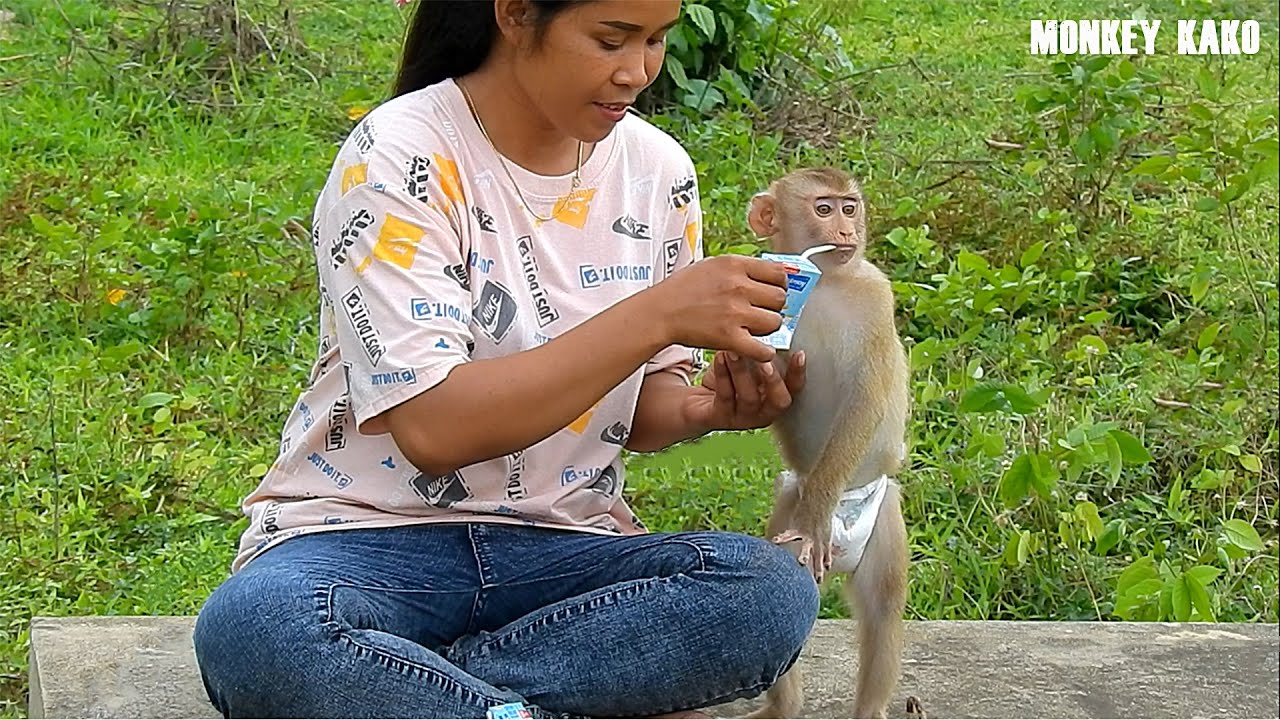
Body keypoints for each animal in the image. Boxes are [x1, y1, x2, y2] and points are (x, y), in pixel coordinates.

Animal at [744, 167, 911, 720]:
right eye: (823, 209)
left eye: (849, 207)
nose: (845, 230)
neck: (826, 282)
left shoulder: (877, 297)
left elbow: (866, 399)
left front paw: (818, 507)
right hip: (786, 509)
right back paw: (783, 707)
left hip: (881, 518)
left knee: (882, 607)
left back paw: (871, 710)